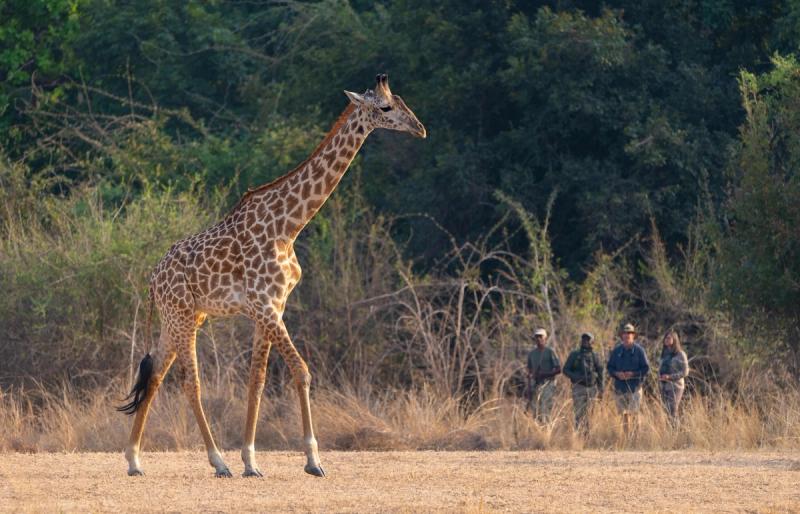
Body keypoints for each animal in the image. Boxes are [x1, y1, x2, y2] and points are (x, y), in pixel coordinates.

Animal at [118, 74, 426, 478]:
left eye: (403, 101)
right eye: (386, 107)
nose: (420, 128)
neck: (289, 226)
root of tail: (153, 279)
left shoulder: (273, 307)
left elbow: (257, 381)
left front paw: (251, 460)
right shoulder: (265, 306)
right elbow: (302, 370)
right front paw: (313, 461)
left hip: (183, 317)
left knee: (154, 372)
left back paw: (134, 459)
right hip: (181, 316)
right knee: (189, 382)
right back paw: (217, 461)